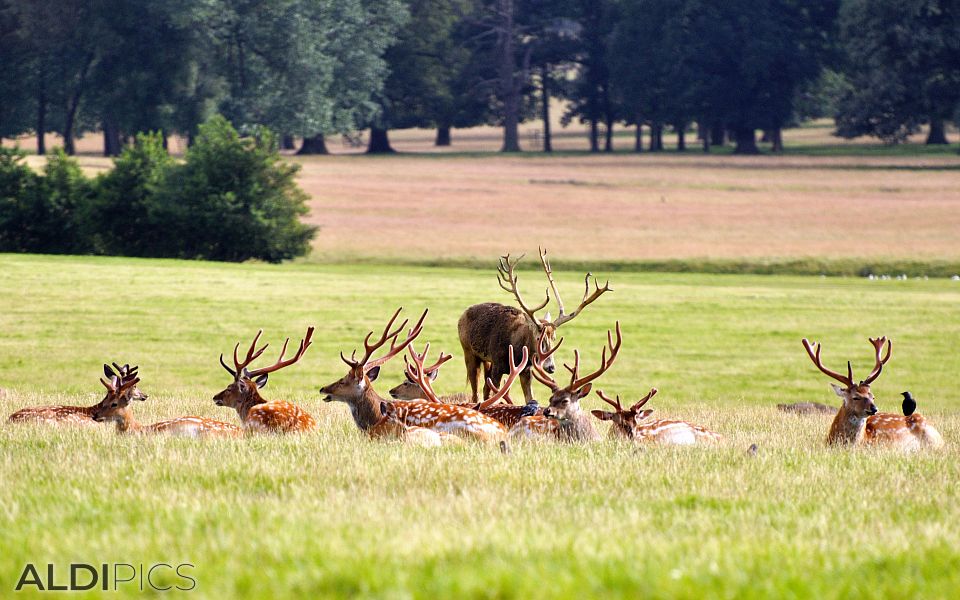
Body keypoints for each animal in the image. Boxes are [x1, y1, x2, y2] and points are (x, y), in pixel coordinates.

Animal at [460, 246, 616, 406]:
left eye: (554, 338)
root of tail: (464, 313)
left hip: (486, 361)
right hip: (468, 351)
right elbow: (494, 395)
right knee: (476, 390)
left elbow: (529, 397)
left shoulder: (526, 370)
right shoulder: (497, 364)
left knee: (484, 387)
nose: (551, 367)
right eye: (537, 337)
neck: (516, 350)